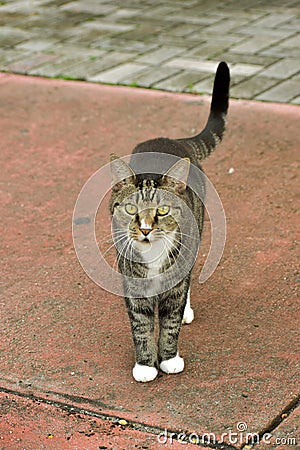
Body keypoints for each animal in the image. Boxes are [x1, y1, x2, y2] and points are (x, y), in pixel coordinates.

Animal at [110, 61, 230, 382]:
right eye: (131, 209)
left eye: (162, 211)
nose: (145, 229)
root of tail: (171, 140)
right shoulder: (133, 284)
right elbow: (141, 326)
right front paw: (145, 365)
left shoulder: (175, 284)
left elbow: (170, 322)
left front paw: (169, 359)